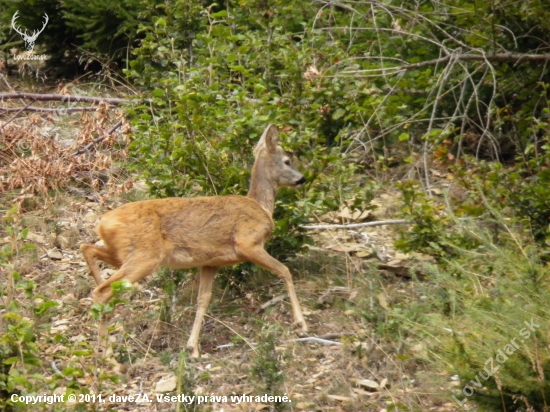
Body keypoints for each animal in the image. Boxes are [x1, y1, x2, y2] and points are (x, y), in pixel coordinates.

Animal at [80, 123, 308, 358]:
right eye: (287, 161)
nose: (302, 179)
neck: (261, 207)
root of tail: (103, 223)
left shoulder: (211, 263)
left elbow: (202, 300)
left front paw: (193, 347)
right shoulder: (248, 242)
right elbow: (284, 270)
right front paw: (301, 323)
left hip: (124, 253)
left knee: (87, 249)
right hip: (145, 256)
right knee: (101, 291)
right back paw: (106, 352)